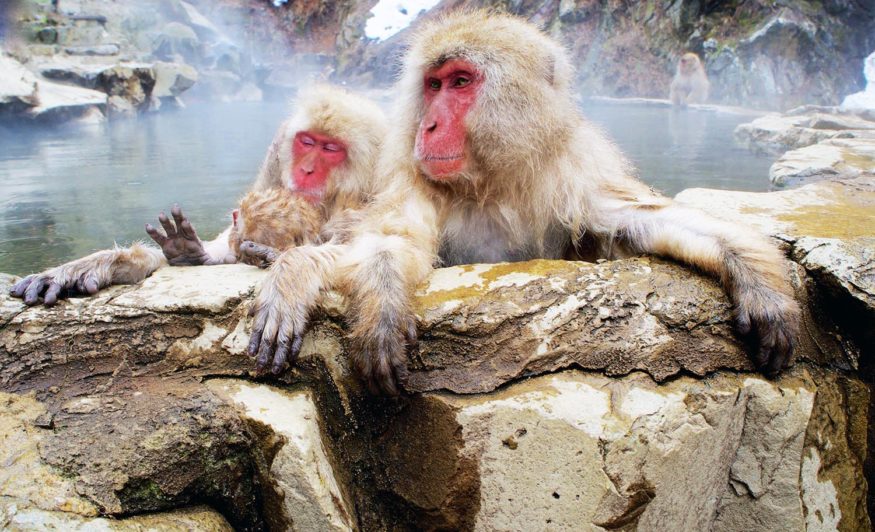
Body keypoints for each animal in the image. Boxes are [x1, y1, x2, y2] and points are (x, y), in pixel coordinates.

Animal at [246, 11, 800, 394]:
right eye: (433, 84)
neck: (492, 182)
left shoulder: (572, 177)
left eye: (460, 82)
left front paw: (756, 278)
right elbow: (392, 240)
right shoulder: (414, 179)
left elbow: (638, 221)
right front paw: (376, 300)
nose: (428, 125)